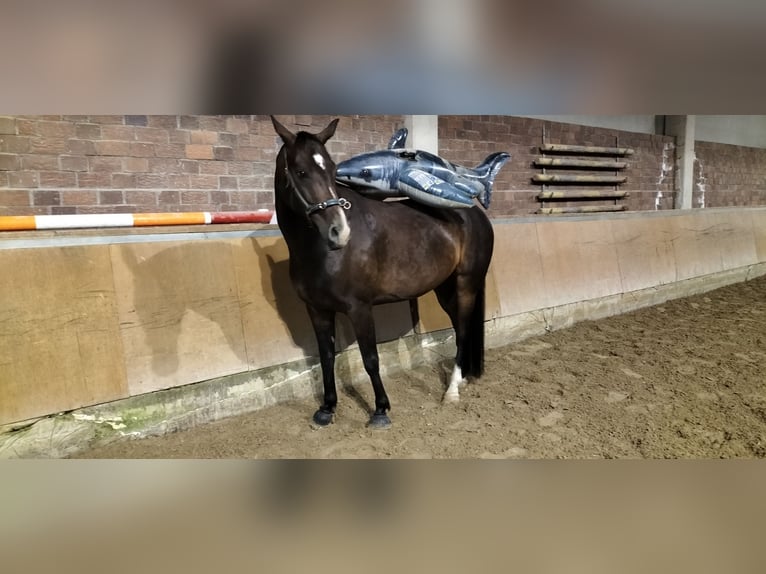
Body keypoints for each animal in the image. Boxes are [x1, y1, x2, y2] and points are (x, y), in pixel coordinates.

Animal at [272, 117, 496, 430]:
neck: (319, 252)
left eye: (331, 169)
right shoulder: (317, 309)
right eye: (301, 171)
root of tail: (475, 214)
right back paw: (461, 380)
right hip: (445, 289)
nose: (340, 231)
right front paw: (327, 408)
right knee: (459, 327)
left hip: (466, 284)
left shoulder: (360, 308)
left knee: (462, 331)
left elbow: (370, 359)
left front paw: (380, 410)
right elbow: (326, 357)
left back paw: (451, 391)